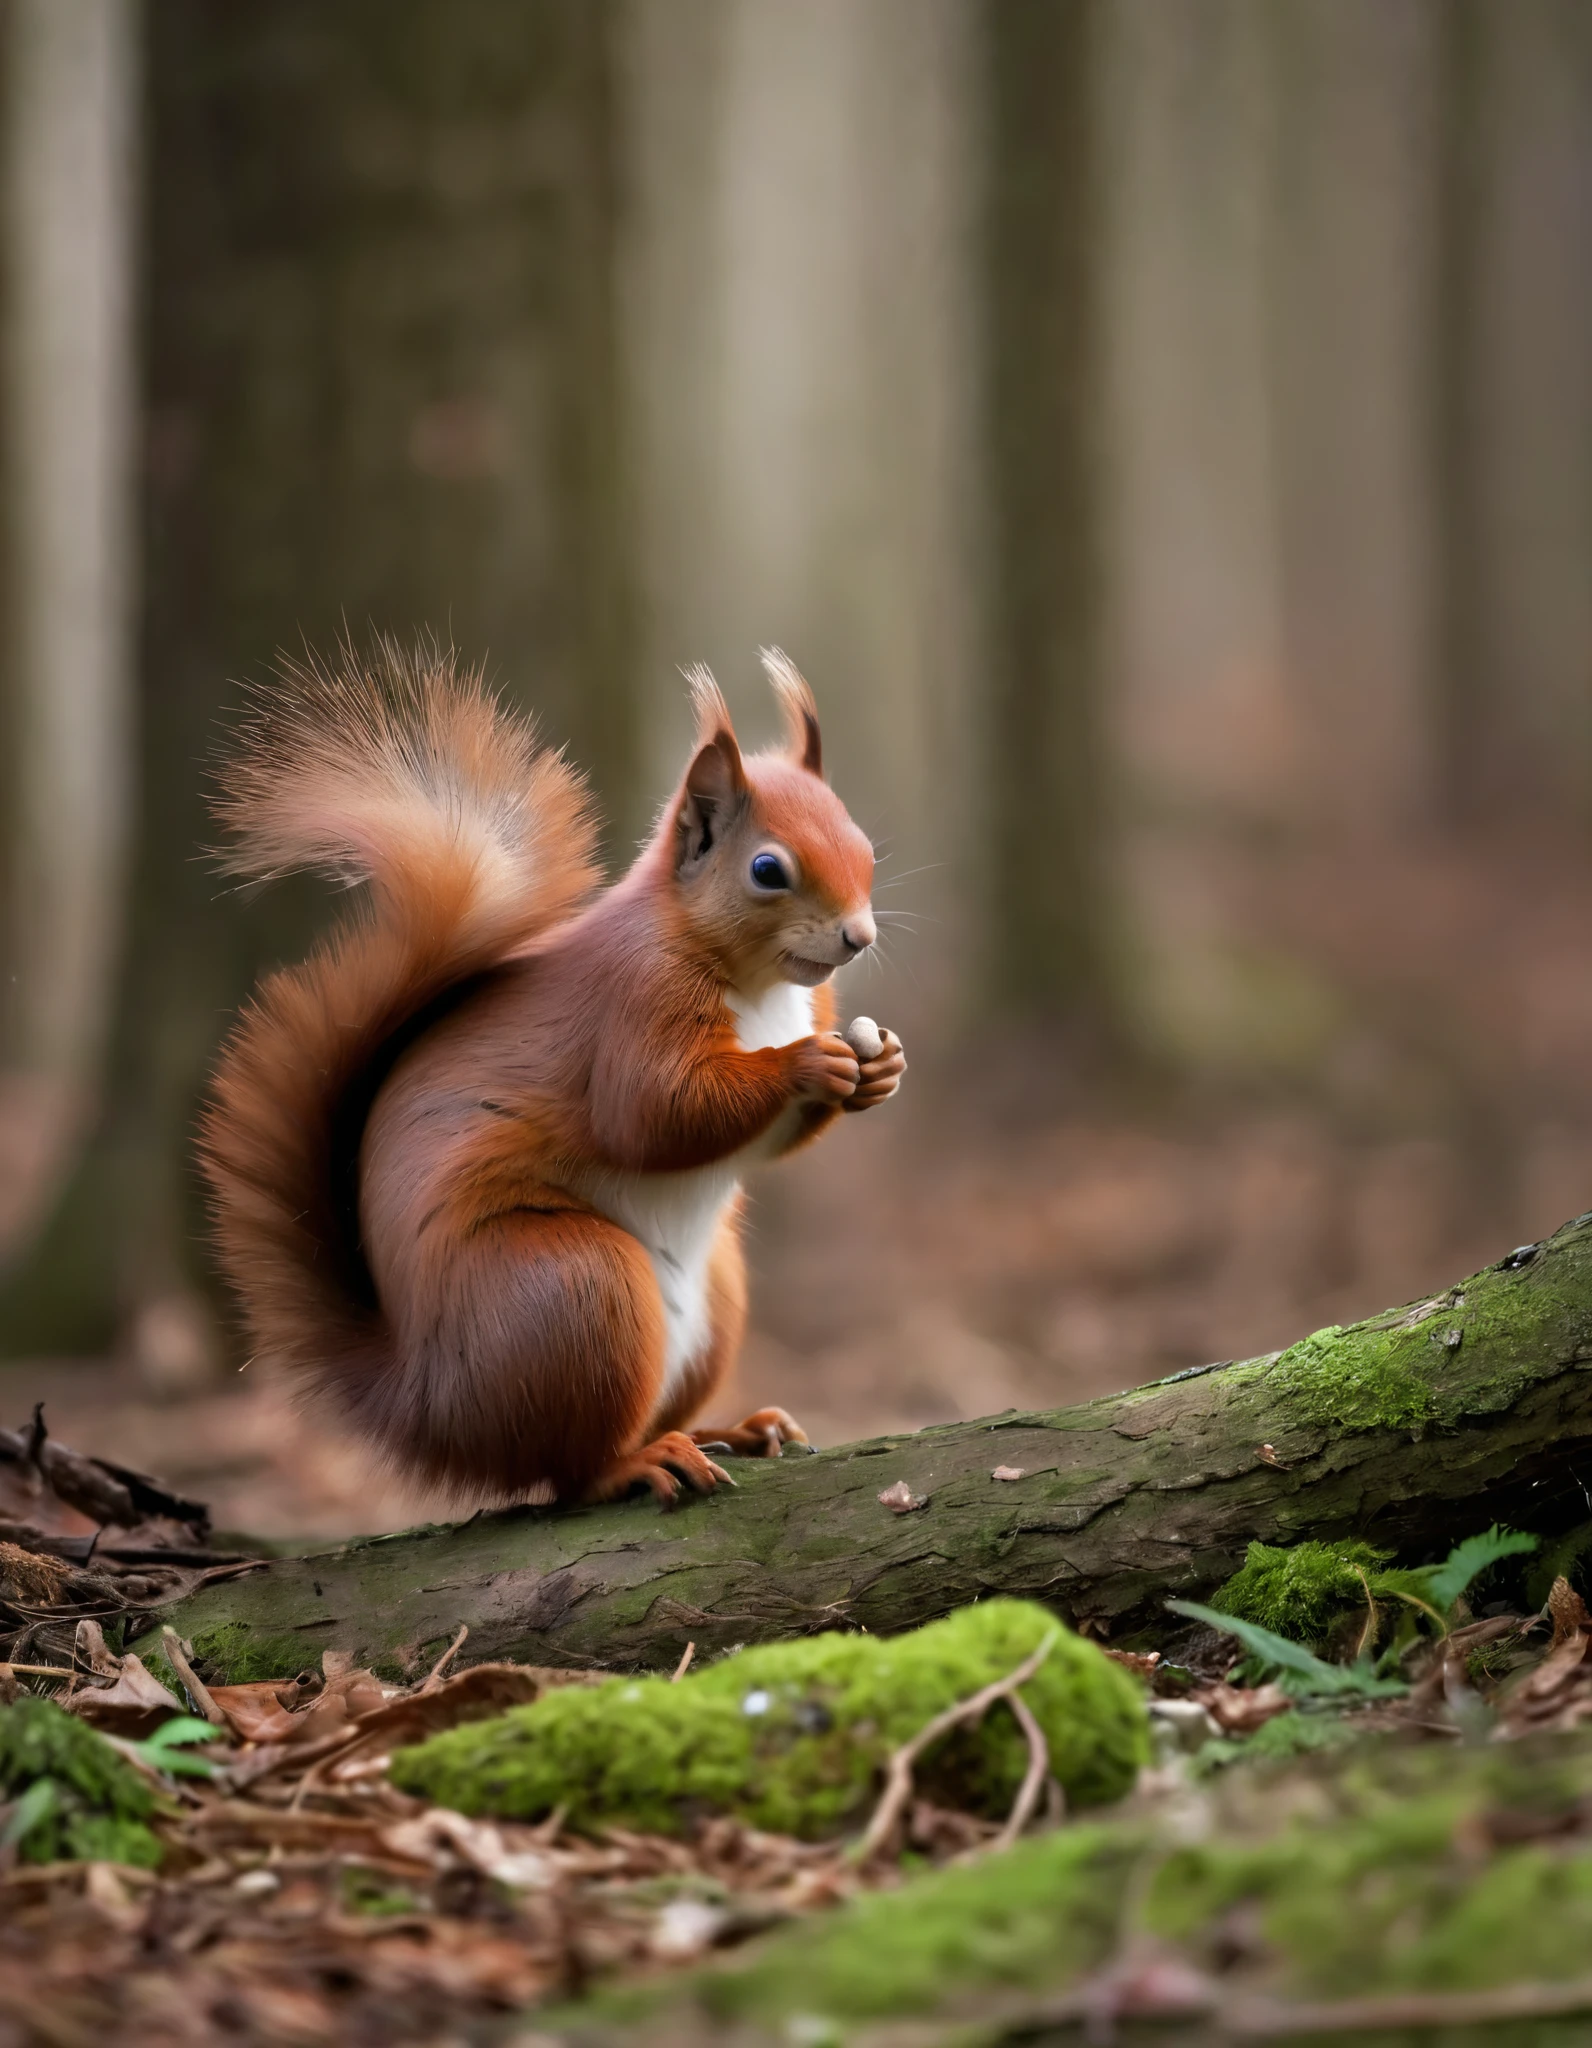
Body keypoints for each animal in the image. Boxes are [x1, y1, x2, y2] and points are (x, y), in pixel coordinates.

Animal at [195, 638, 905, 1507]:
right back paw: (639, 1462)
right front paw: (805, 1063)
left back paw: (731, 1430)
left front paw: (880, 1069)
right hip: (575, 1289)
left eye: (864, 848)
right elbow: (656, 1113)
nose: (859, 937)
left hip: (713, 1296)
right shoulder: (635, 1006)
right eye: (768, 870)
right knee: (568, 1474)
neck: (762, 985)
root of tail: (426, 1405)